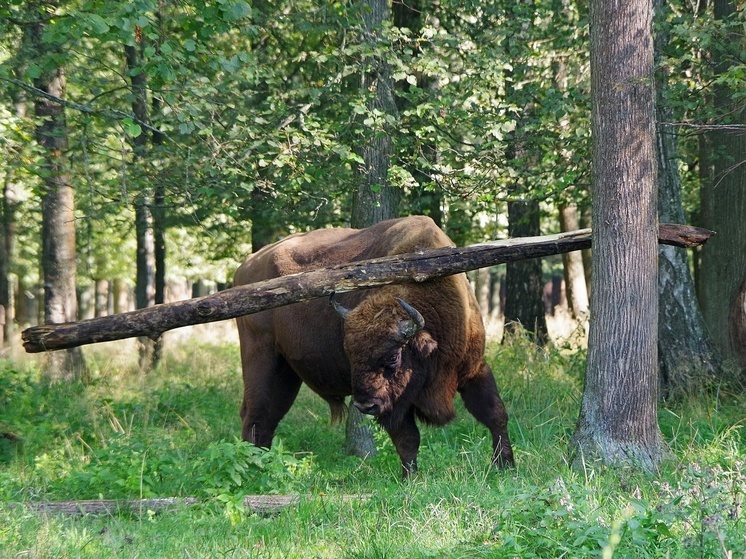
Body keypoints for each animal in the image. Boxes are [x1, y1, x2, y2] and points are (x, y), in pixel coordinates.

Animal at [234, 217, 512, 480]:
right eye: (350, 355)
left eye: (393, 357)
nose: (364, 406)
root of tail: (245, 266)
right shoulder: (393, 405)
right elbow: (408, 438)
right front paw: (410, 479)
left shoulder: (475, 370)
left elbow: (495, 414)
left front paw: (506, 466)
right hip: (260, 357)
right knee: (255, 414)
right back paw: (252, 470)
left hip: (287, 372)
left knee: (270, 416)